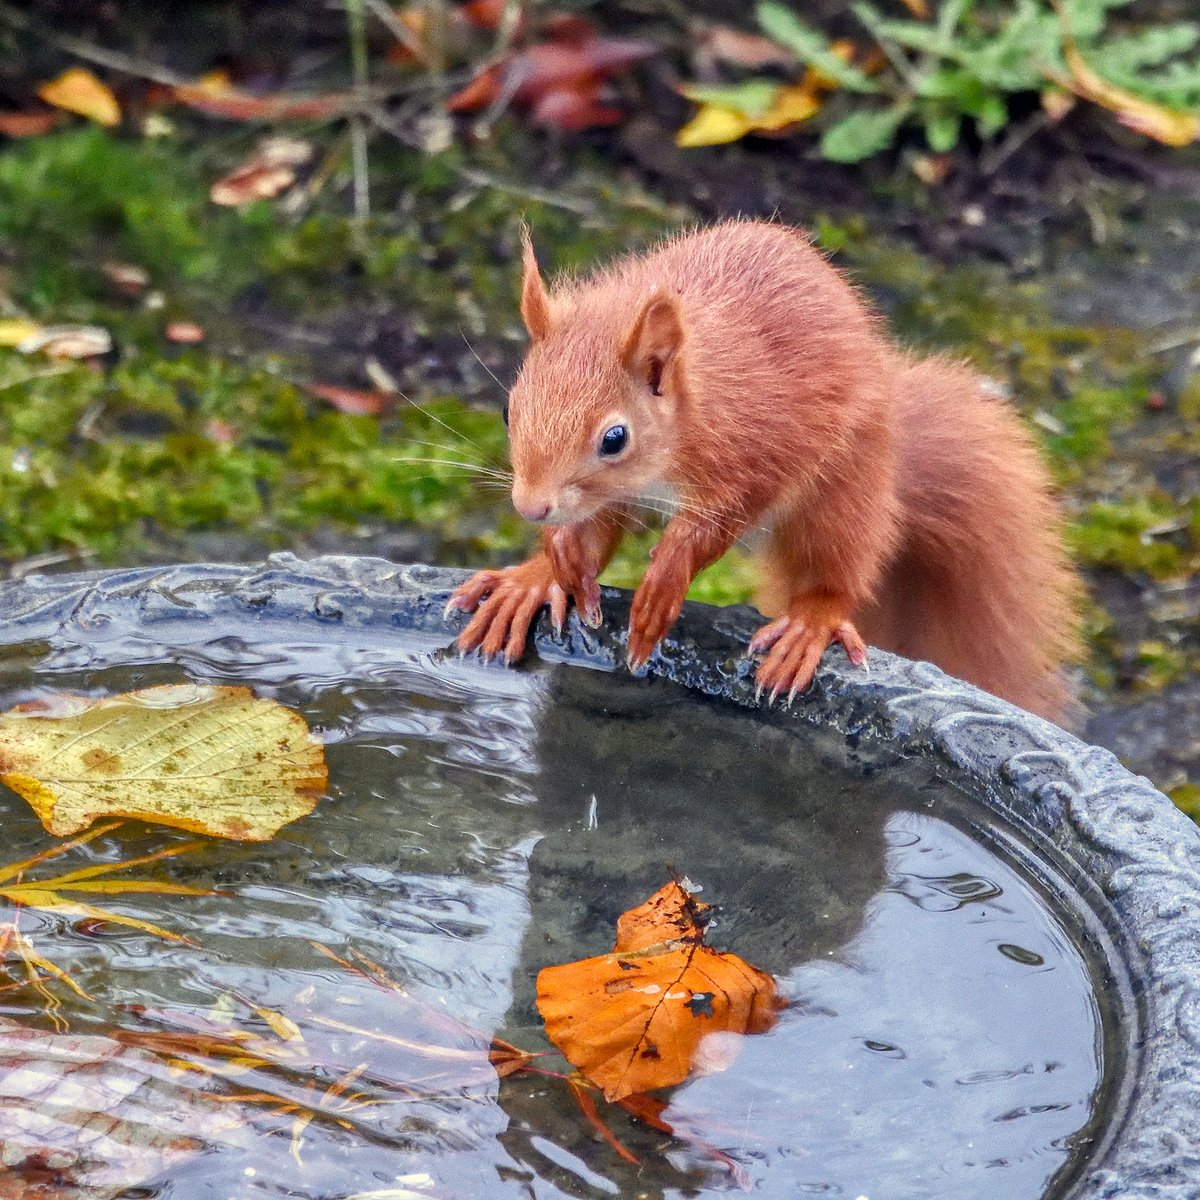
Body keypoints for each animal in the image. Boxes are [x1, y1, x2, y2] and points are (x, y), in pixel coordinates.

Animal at [447, 220, 1080, 721]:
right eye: (508, 409)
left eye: (614, 438)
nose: (530, 507)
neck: (697, 405)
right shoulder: (612, 495)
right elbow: (594, 532)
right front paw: (555, 559)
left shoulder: (758, 453)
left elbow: (715, 526)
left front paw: (663, 583)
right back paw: (528, 585)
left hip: (842, 489)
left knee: (838, 570)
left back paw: (809, 626)